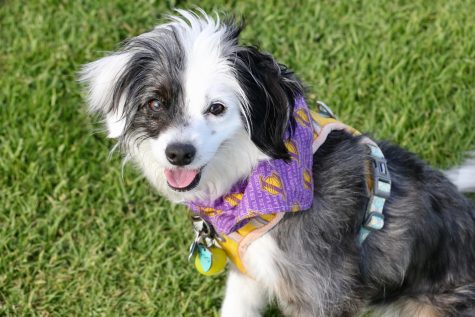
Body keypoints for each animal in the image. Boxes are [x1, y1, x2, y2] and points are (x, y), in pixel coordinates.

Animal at [80, 9, 475, 316]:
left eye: (217, 108)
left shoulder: (322, 294)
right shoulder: (250, 276)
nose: (178, 153)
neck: (257, 184)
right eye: (155, 103)